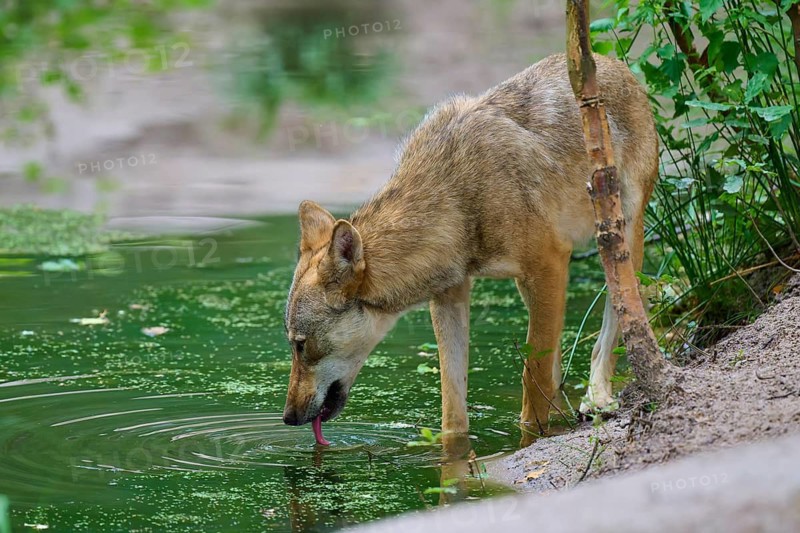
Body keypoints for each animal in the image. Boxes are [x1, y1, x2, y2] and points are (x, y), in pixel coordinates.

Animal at [282, 53, 658, 444]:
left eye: (300, 344)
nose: (287, 418)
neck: (456, 198)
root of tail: (612, 61)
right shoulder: (450, 295)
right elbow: (453, 404)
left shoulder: (549, 265)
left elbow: (532, 376)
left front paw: (532, 437)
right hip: (531, 286)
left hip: (617, 242)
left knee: (618, 321)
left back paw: (598, 397)